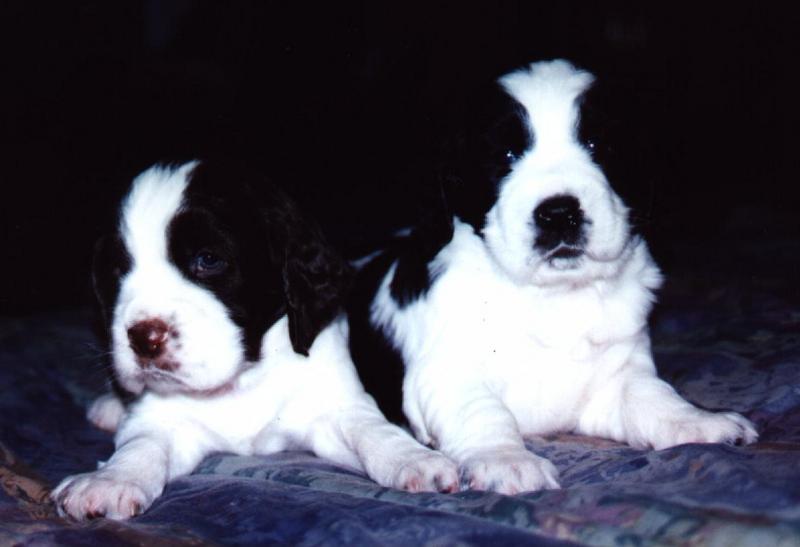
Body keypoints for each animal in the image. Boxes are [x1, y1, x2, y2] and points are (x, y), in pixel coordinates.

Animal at [51, 159, 456, 524]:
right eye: (118, 269)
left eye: (208, 259)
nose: (144, 337)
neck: (242, 380)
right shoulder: (162, 421)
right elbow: (140, 446)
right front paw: (108, 481)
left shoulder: (332, 407)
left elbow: (371, 429)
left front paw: (414, 459)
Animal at [348, 60, 756, 496]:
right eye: (506, 154)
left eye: (598, 146)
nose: (559, 213)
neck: (554, 298)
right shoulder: (444, 371)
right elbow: (482, 410)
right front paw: (506, 460)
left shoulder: (614, 377)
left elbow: (652, 394)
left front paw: (700, 421)